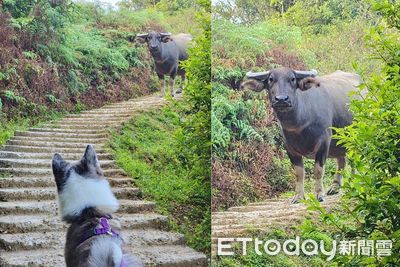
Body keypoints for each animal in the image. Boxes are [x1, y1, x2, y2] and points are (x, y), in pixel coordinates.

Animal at [241, 68, 362, 204]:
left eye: (292, 79)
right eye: (271, 79)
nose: (281, 99)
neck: (299, 126)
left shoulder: (324, 142)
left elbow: (318, 170)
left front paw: (319, 194)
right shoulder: (290, 148)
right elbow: (299, 173)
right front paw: (298, 196)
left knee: (354, 161)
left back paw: (354, 181)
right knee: (342, 161)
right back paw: (335, 186)